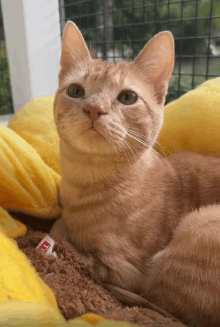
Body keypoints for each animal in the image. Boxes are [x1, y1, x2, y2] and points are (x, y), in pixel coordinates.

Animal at [51, 21, 220, 326]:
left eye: (128, 97)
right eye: (75, 91)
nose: (94, 109)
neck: (86, 181)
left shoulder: (124, 270)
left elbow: (62, 236)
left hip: (198, 226)